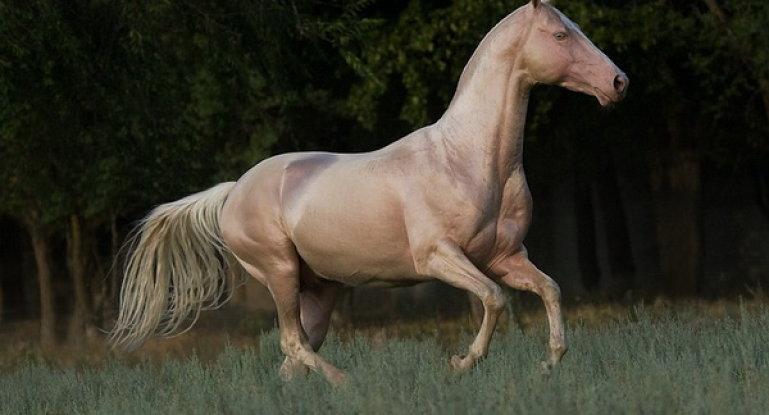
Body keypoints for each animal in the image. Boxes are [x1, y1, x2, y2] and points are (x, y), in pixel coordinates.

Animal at [111, 0, 628, 386]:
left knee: (295, 356)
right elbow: (494, 299)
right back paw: (345, 383)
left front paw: (550, 361)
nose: (618, 82)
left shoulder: (504, 257)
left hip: (320, 289)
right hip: (279, 273)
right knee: (292, 342)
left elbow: (549, 289)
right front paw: (462, 362)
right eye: (560, 36)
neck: (465, 157)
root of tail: (233, 190)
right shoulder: (438, 256)